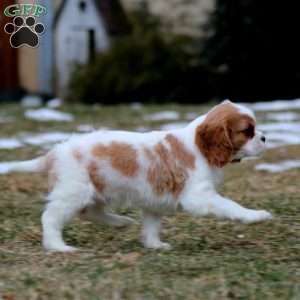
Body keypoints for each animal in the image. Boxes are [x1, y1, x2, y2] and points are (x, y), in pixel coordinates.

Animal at [1, 100, 272, 251]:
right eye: (247, 131)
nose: (264, 137)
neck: (199, 145)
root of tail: (55, 152)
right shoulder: (199, 196)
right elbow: (230, 205)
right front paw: (255, 215)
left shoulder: (155, 198)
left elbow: (151, 225)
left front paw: (154, 245)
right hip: (74, 190)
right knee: (51, 217)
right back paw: (58, 247)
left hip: (94, 190)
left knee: (89, 212)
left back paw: (120, 222)